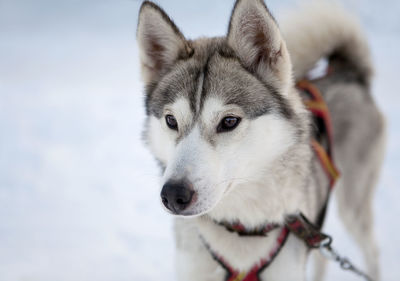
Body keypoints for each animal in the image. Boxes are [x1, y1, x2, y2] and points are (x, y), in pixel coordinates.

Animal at [137, 1, 384, 278]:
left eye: (229, 121)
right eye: (171, 120)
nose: (173, 195)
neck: (243, 230)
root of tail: (347, 73)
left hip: (353, 206)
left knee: (371, 251)